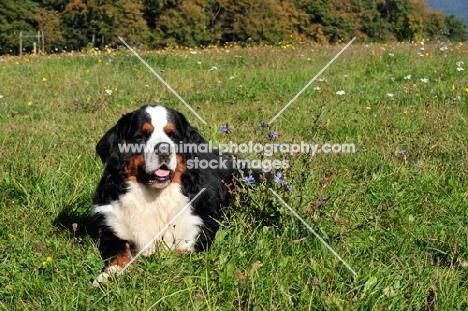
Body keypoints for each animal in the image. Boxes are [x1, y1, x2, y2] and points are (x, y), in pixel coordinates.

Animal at [92, 105, 258, 286]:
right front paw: (108, 275)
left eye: (174, 136)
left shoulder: (197, 234)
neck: (154, 198)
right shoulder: (112, 230)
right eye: (141, 136)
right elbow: (119, 255)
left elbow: (171, 254)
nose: (163, 150)